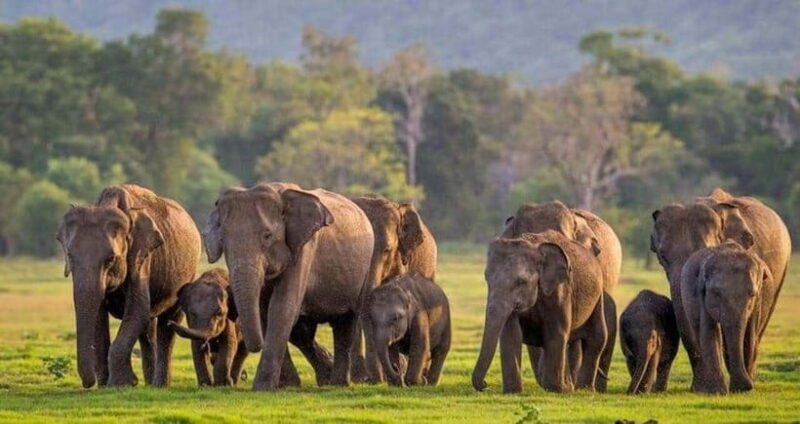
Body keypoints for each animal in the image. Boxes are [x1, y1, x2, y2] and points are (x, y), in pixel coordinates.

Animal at [56, 184, 201, 388]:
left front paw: (122, 384)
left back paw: (159, 385)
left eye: (110, 259)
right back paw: (150, 384)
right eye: (70, 256)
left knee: (168, 323)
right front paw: (105, 385)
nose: (88, 384)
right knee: (148, 329)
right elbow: (100, 316)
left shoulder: (141, 257)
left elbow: (137, 309)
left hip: (188, 273)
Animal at [204, 182, 374, 391]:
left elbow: (281, 307)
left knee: (346, 323)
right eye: (223, 240)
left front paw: (263, 388)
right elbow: (265, 311)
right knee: (305, 331)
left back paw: (337, 384)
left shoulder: (305, 248)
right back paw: (325, 378)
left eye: (267, 236)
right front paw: (286, 386)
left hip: (364, 270)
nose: (255, 346)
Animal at [472, 230, 608, 393]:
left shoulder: (560, 290)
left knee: (597, 337)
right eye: (487, 278)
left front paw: (556, 389)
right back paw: (569, 387)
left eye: (521, 281)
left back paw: (583, 389)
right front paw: (513, 392)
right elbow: (511, 334)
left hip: (598, 295)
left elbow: (557, 331)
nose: (485, 384)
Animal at [680, 241, 774, 394]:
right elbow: (709, 332)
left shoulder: (757, 302)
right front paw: (717, 392)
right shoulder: (701, 294)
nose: (748, 385)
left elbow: (749, 334)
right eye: (716, 293)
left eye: (752, 294)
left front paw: (741, 390)